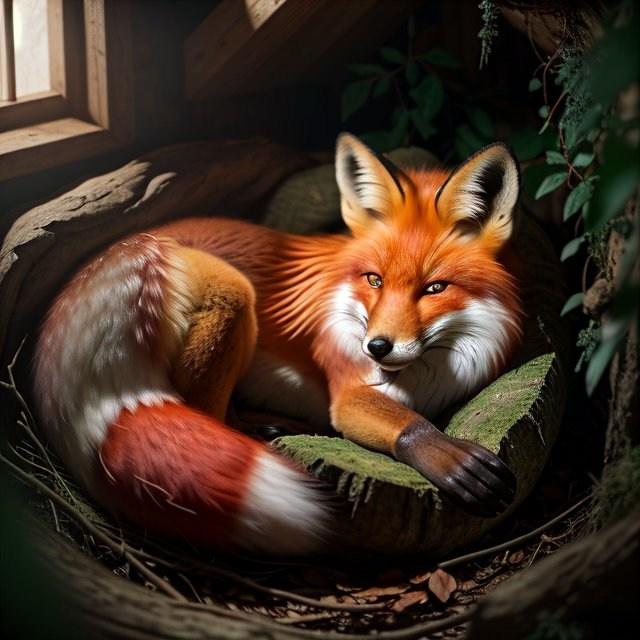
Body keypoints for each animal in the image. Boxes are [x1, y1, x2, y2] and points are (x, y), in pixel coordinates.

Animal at [33, 133, 523, 555]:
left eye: (435, 288)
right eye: (374, 280)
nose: (377, 348)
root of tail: (130, 248)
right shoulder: (346, 390)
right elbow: (410, 426)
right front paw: (447, 455)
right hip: (234, 295)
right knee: (204, 408)